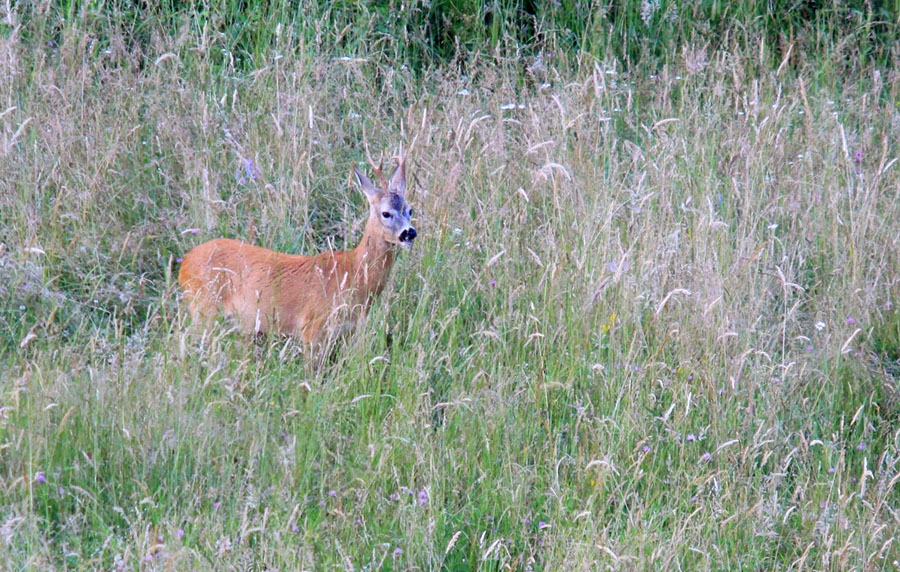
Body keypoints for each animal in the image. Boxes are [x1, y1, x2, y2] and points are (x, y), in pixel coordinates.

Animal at [179, 153, 418, 348]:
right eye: (386, 213)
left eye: (410, 210)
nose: (410, 233)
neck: (353, 275)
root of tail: (185, 263)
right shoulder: (313, 328)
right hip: (203, 308)